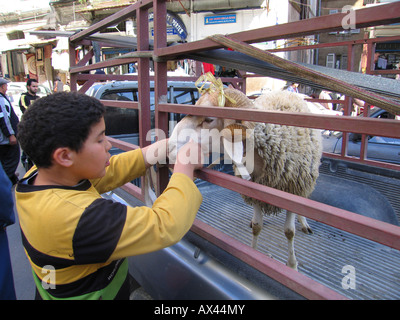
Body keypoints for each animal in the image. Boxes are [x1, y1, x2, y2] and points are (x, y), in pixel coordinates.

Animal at [166, 73, 322, 270]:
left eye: (209, 119)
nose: (170, 147)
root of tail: (285, 91)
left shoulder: (293, 189)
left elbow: (289, 231)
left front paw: (292, 265)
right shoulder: (254, 190)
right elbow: (257, 226)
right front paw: (253, 254)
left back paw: (303, 222)